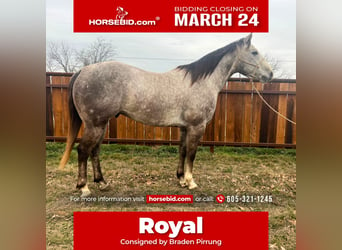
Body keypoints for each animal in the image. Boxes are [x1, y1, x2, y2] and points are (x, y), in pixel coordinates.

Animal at [58, 33, 272, 197]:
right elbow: (192, 153)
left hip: (101, 125)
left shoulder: (185, 127)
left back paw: (102, 182)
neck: (201, 82)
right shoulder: (197, 126)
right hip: (95, 125)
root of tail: (83, 71)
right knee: (83, 150)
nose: (269, 74)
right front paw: (191, 181)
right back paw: (84, 188)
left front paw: (181, 179)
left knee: (94, 151)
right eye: (254, 52)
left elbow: (182, 151)